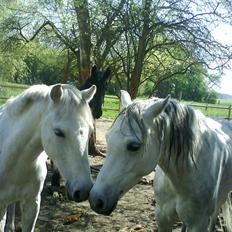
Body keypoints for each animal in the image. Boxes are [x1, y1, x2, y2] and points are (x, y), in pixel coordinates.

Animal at [89, 90, 232, 232]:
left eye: (134, 146)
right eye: (107, 138)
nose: (96, 200)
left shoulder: (198, 223)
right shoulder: (162, 217)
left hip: (221, 199)